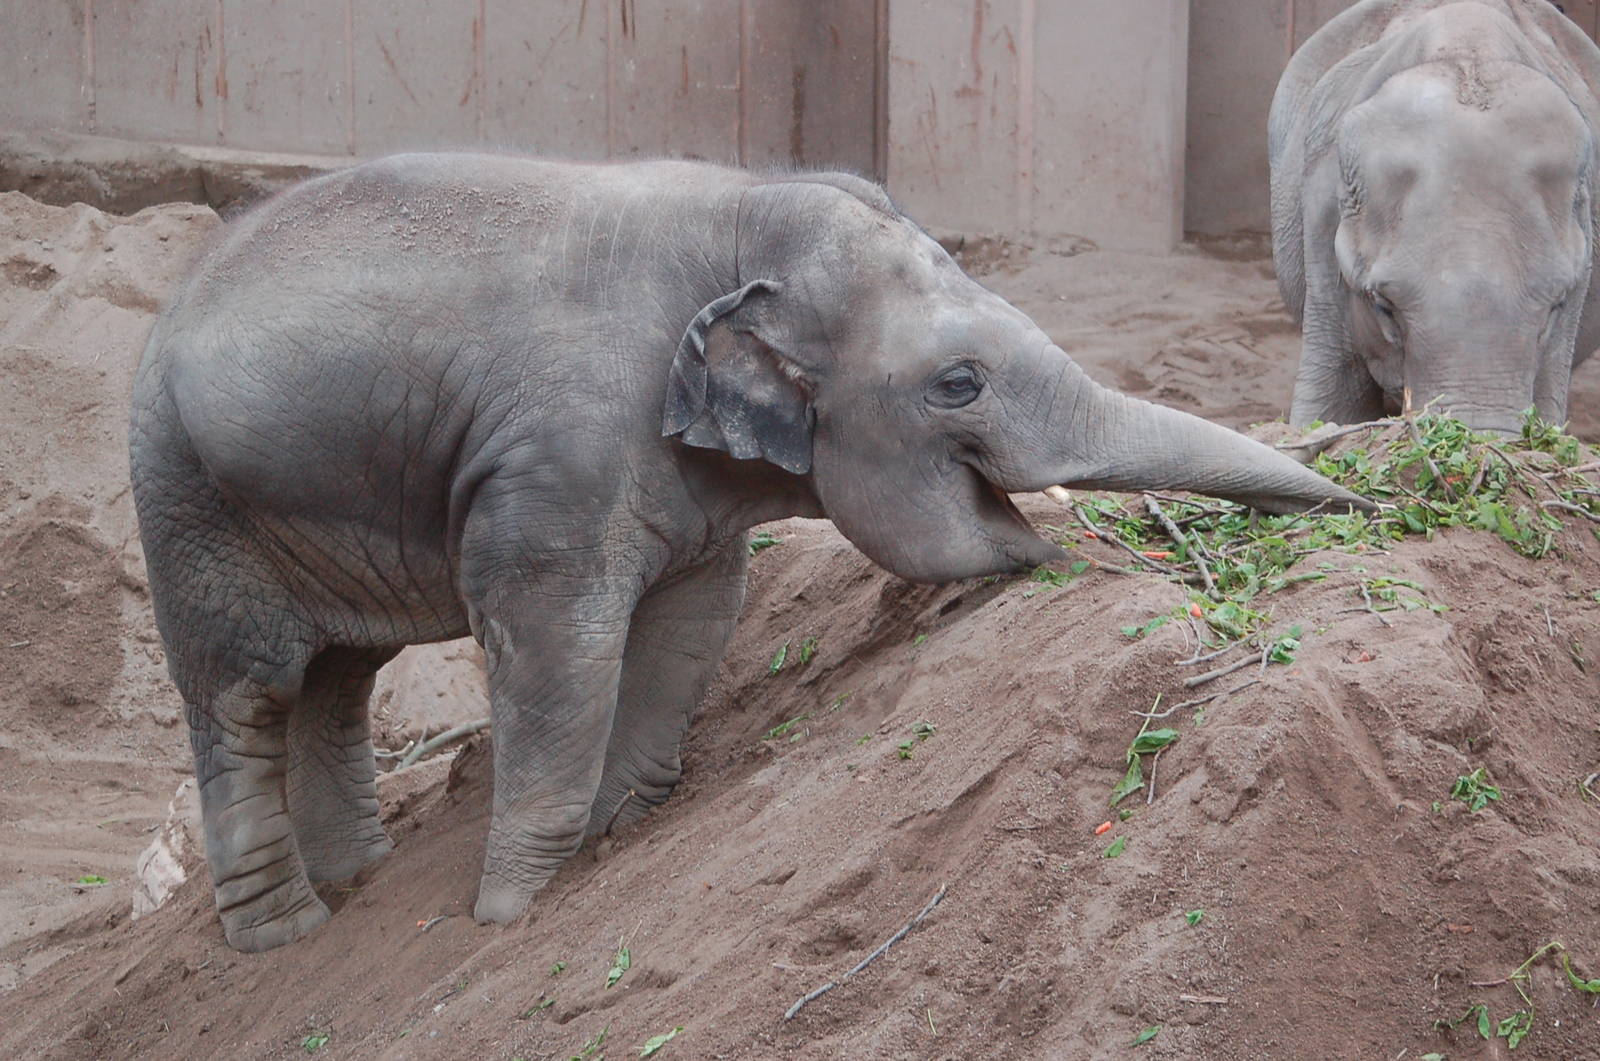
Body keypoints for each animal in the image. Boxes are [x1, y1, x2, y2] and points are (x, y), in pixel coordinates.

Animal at [129, 152, 1367, 952]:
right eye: (957, 383)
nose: (1356, 497)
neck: (739, 218)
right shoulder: (556, 459)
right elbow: (554, 646)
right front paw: (510, 915)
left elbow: (692, 622)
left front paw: (616, 834)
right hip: (184, 495)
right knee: (248, 691)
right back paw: (286, 933)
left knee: (339, 680)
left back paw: (359, 881)